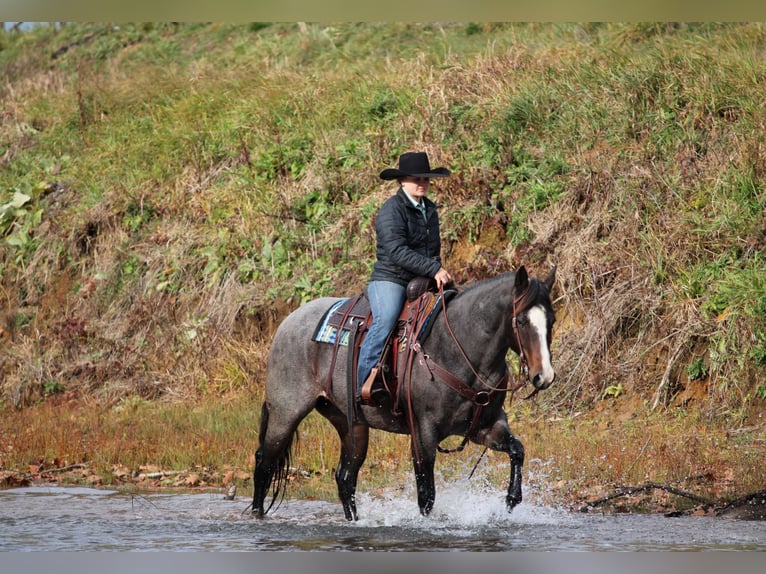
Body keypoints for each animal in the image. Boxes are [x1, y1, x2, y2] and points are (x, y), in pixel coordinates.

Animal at [251, 265, 556, 520]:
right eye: (521, 321)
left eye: (551, 320)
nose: (544, 376)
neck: (456, 348)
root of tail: (289, 321)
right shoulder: (423, 433)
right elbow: (426, 494)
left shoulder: (486, 426)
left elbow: (517, 450)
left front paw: (511, 499)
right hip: (286, 412)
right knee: (265, 462)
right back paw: (257, 515)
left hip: (351, 424)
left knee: (345, 478)